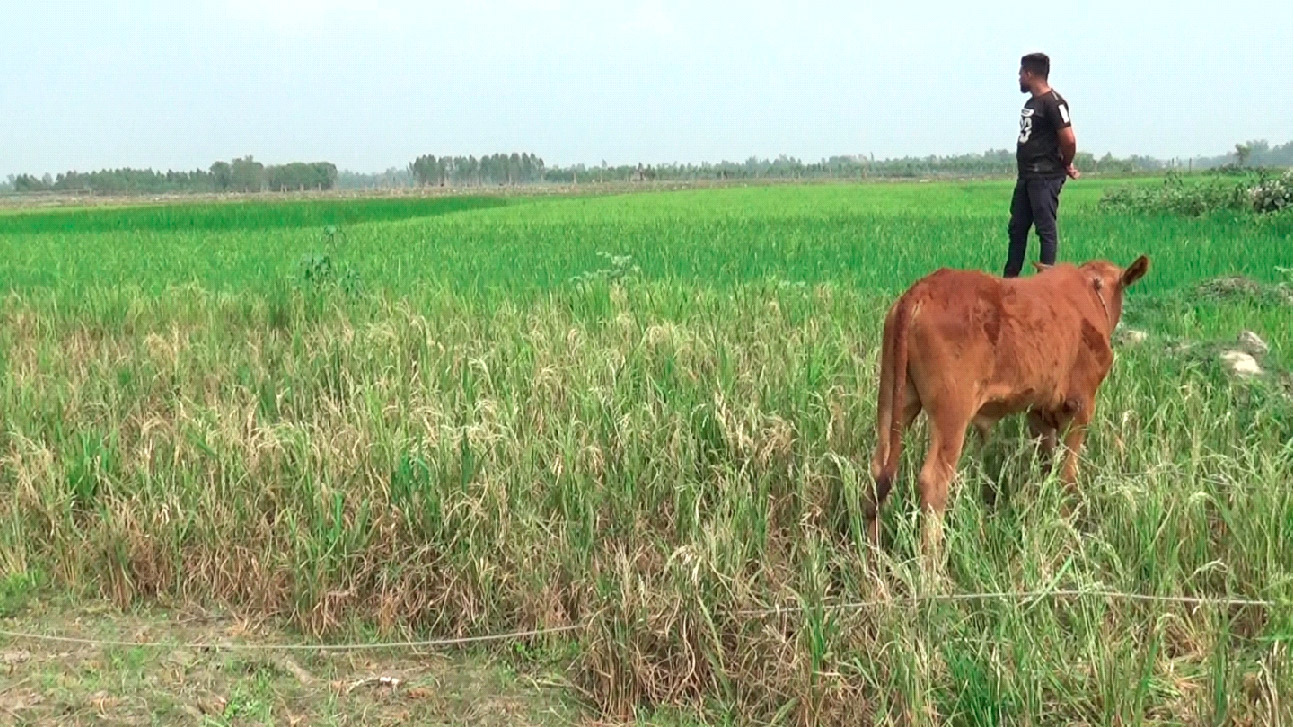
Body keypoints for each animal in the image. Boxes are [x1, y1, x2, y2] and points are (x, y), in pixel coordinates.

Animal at [864, 253, 1149, 553]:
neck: (1091, 291)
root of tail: (922, 289)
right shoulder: (1081, 407)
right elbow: (1068, 475)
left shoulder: (1038, 411)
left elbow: (1047, 464)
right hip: (951, 416)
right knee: (933, 481)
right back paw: (932, 560)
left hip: (893, 399)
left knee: (878, 469)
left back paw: (872, 552)